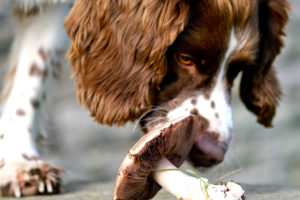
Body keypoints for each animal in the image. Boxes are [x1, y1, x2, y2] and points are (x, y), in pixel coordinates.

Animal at [0, 0, 290, 198]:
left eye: (238, 69)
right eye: (185, 58)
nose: (211, 153)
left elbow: (32, 77)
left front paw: (18, 161)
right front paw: (19, 163)